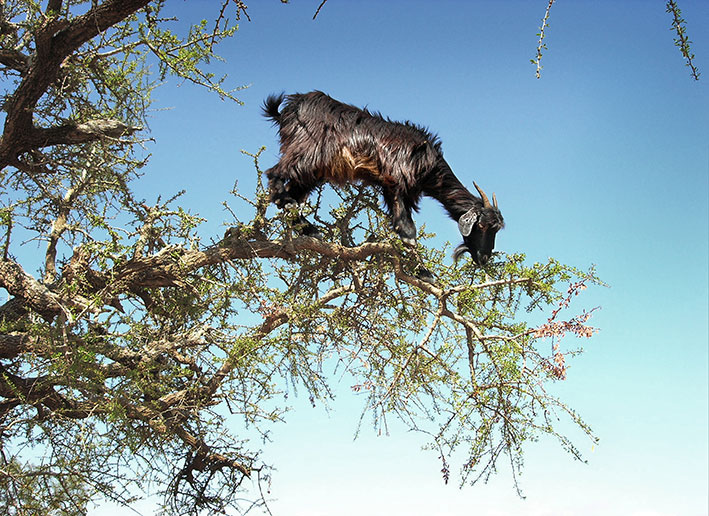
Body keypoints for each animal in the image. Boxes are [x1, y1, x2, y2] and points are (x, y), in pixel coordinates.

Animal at [262, 90, 504, 266]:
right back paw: (291, 207)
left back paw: (308, 227)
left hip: (315, 170)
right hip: (307, 151)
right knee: (275, 173)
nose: (484, 258)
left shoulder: (399, 190)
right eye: (482, 226)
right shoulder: (396, 181)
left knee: (293, 190)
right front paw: (423, 272)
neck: (431, 167)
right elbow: (406, 229)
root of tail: (290, 108)